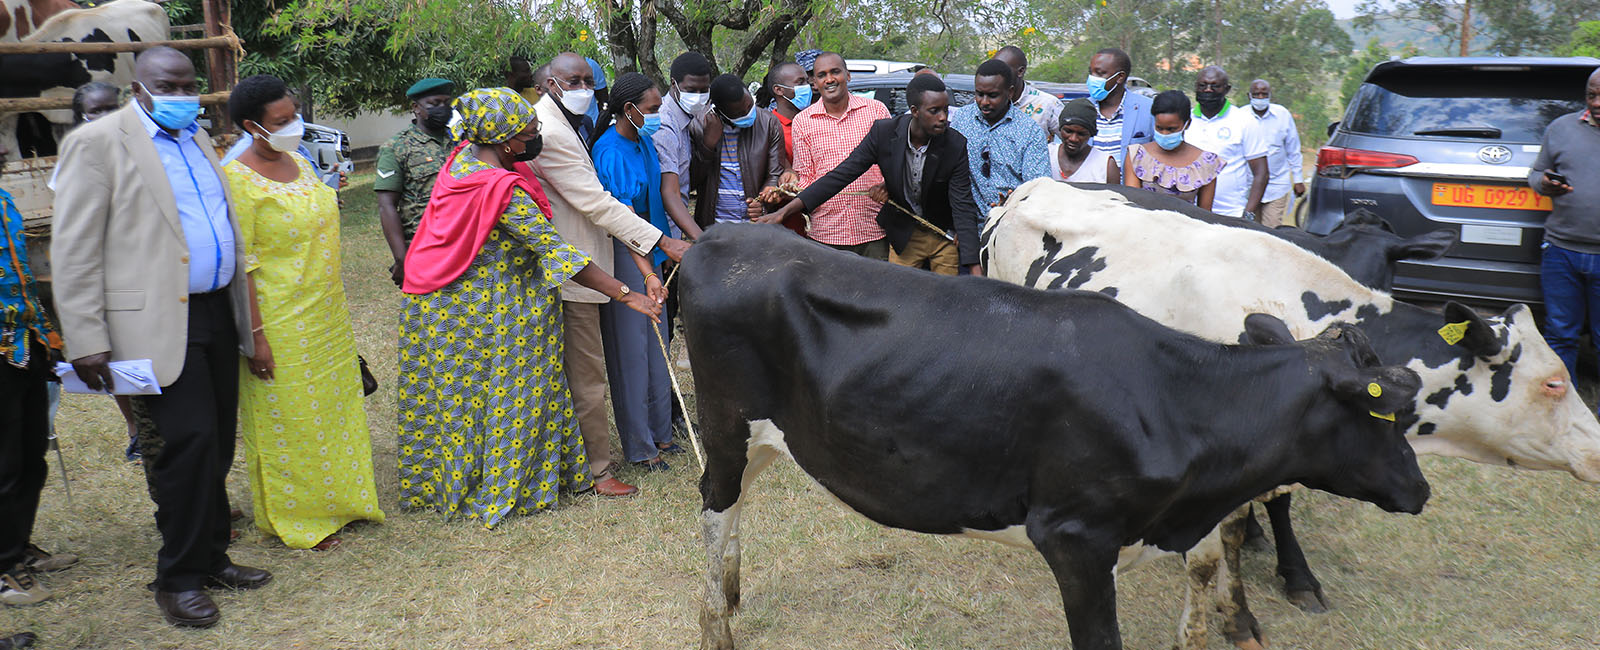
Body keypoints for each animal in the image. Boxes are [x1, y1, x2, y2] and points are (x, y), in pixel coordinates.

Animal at [681, 224, 1433, 650]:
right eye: (1387, 414)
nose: (1421, 489)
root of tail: (721, 237)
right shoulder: (1075, 538)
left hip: (769, 435)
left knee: (736, 502)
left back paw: (734, 591)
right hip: (725, 423)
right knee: (714, 504)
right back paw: (716, 627)